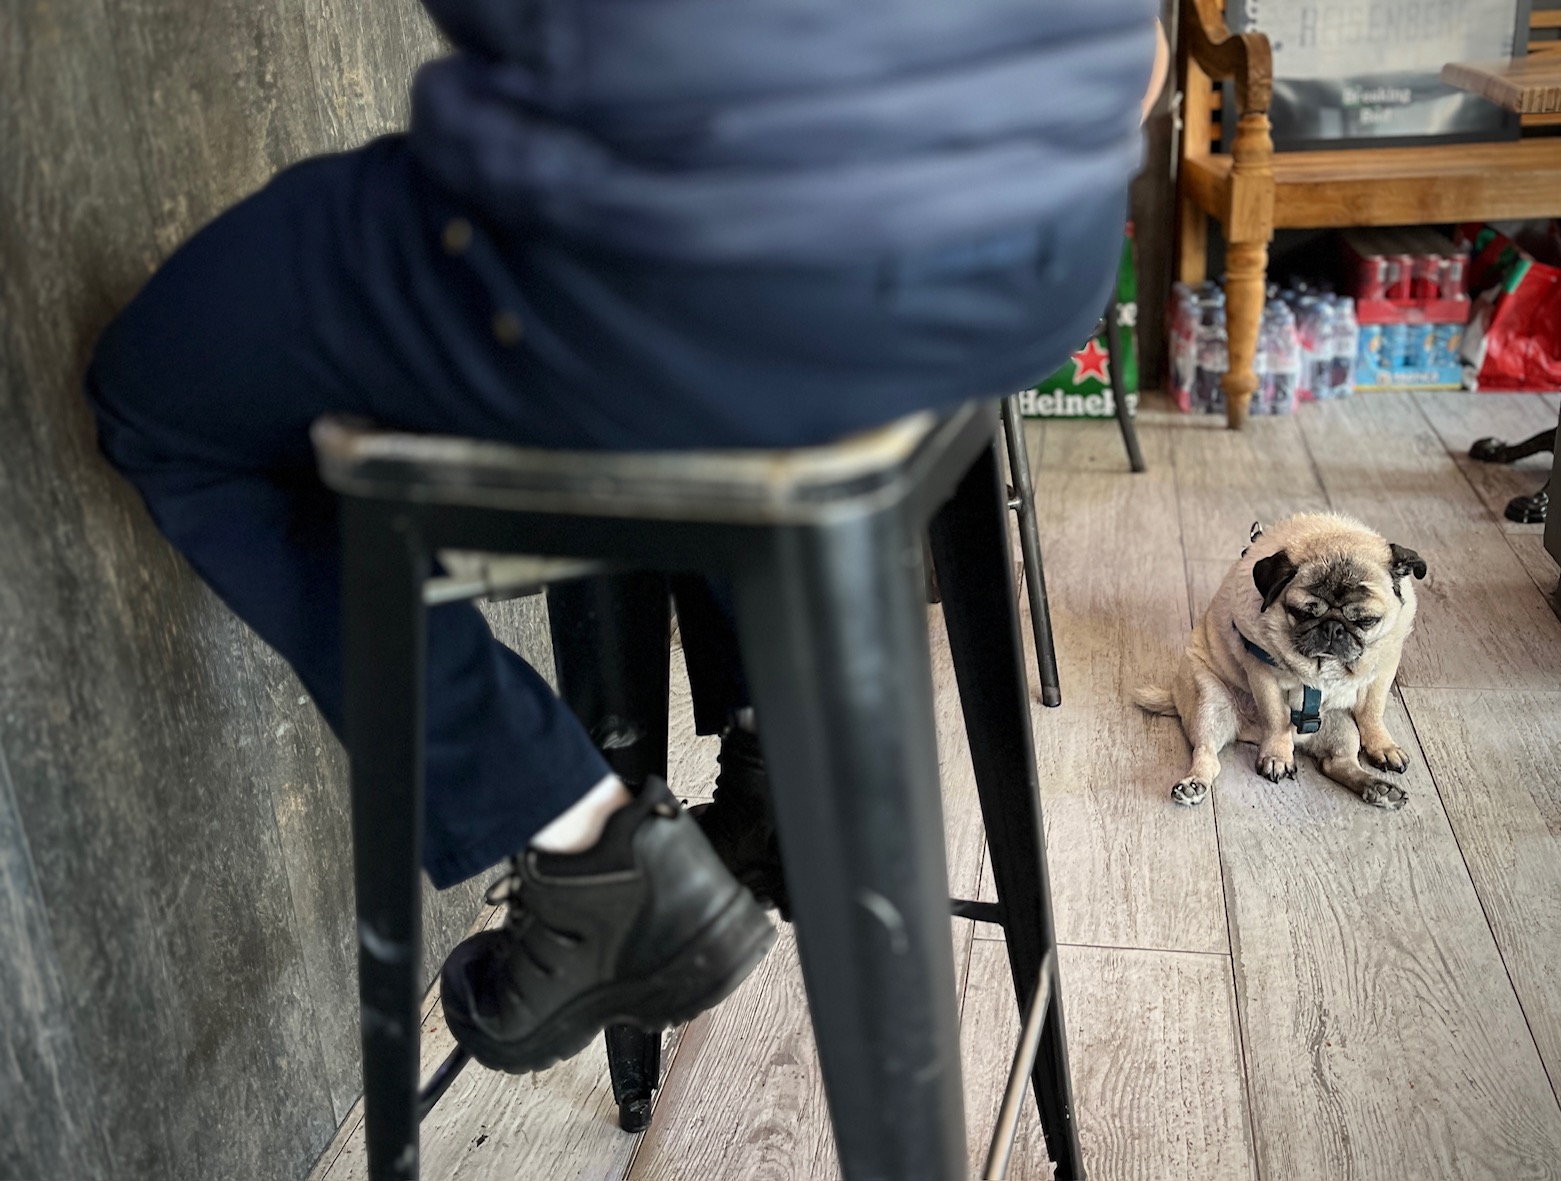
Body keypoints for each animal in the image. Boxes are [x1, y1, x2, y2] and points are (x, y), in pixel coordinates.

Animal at [1136, 514, 1429, 811]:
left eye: (1366, 621)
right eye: (1301, 613)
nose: (1333, 628)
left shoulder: (1383, 669)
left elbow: (1372, 711)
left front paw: (1383, 747)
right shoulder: (1264, 673)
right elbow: (1276, 718)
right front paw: (1277, 757)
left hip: (1341, 723)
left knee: (1337, 762)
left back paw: (1378, 788)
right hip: (1210, 701)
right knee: (1207, 754)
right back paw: (1194, 784)